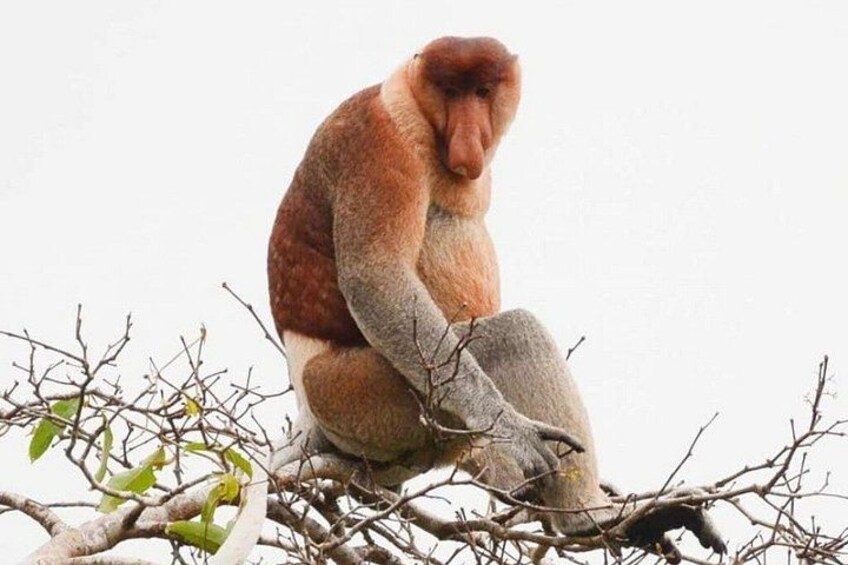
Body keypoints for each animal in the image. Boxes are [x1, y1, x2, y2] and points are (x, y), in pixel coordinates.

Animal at [260, 36, 725, 560]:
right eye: (450, 91)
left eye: (482, 91)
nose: (468, 137)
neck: (415, 109)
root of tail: (308, 406)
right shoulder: (377, 141)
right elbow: (377, 280)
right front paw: (516, 433)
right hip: (359, 394)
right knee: (513, 335)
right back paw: (593, 521)